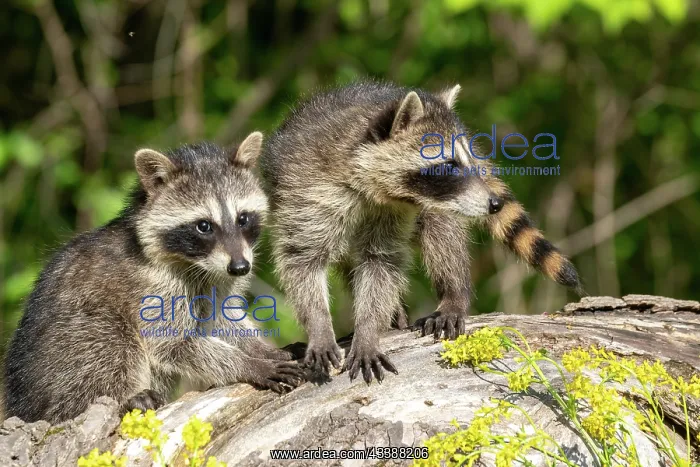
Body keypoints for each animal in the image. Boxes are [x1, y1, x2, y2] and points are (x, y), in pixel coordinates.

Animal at [4, 133, 304, 424]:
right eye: (204, 226)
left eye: (243, 219)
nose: (241, 267)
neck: (195, 264)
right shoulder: (152, 288)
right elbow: (171, 344)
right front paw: (250, 364)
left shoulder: (218, 279)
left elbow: (222, 318)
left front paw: (262, 349)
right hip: (70, 344)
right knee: (109, 340)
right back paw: (128, 397)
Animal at [260, 81, 582, 384]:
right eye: (449, 165)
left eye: (467, 162)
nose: (495, 203)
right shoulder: (309, 190)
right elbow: (302, 259)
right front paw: (320, 326)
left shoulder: (395, 215)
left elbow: (382, 263)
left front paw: (368, 330)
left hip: (441, 207)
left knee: (443, 238)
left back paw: (453, 293)